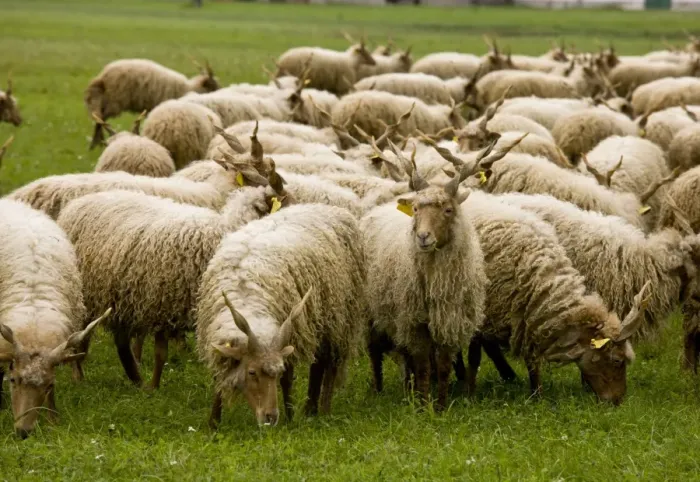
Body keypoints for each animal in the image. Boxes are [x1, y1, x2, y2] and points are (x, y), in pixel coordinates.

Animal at [56, 165, 282, 388]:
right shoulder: (165, 304)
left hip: (120, 293)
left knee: (119, 340)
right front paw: (155, 387)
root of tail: (75, 204)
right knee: (83, 333)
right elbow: (160, 354)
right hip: (88, 292)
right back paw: (79, 375)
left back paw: (135, 379)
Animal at [85, 59, 219, 148]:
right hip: (115, 100)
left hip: (106, 99)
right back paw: (95, 144)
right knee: (101, 118)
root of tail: (103, 76)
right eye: (213, 85)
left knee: (98, 117)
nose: (220, 91)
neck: (189, 88)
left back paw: (97, 143)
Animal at [196, 204, 366, 426]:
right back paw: (310, 410)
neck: (245, 296)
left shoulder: (289, 332)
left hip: (340, 317)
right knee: (318, 364)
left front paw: (290, 418)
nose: (270, 417)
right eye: (252, 372)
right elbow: (219, 379)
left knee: (329, 364)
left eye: (277, 373)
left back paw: (322, 410)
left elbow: (287, 381)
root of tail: (330, 208)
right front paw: (213, 422)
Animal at [363, 143, 488, 410]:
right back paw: (380, 390)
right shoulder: (415, 322)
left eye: (448, 210)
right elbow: (421, 366)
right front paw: (422, 406)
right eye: (416, 209)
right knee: (375, 352)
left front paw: (440, 405)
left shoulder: (448, 320)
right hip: (373, 313)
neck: (435, 280)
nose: (423, 237)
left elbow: (442, 367)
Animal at [460, 190, 648, 404]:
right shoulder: (481, 313)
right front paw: (469, 394)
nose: (618, 401)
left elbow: (532, 359)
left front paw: (536, 395)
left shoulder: (527, 314)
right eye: (617, 360)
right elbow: (474, 357)